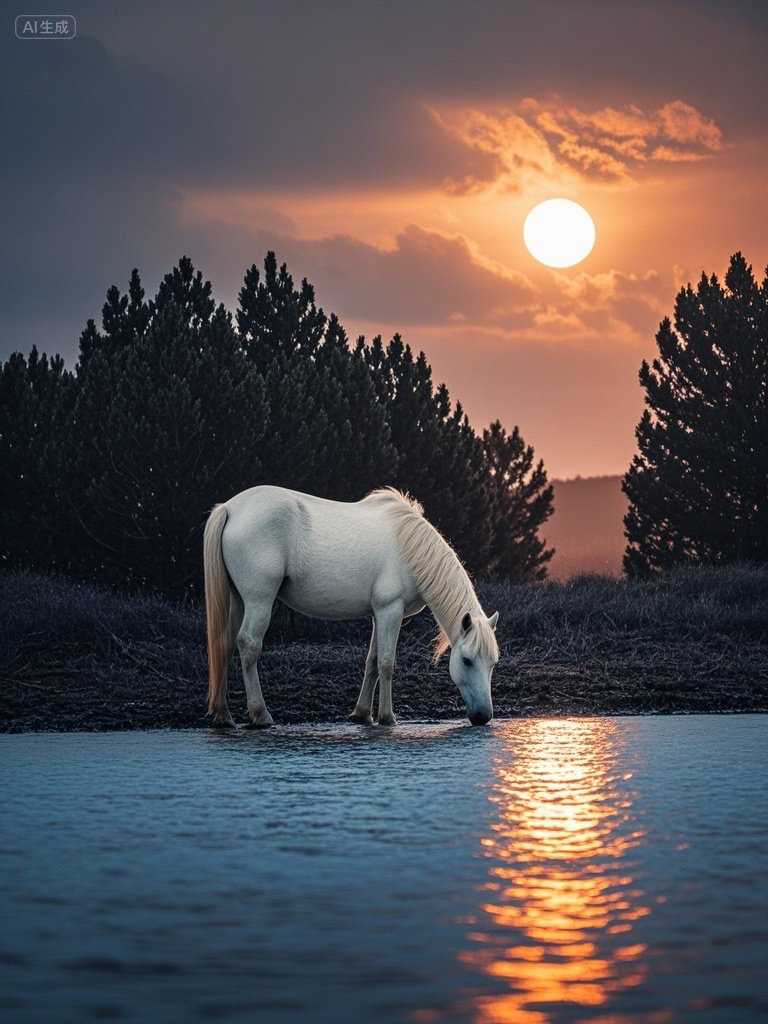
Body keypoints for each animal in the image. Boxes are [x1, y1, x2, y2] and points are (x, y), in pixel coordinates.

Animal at [203, 485, 499, 728]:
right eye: (466, 660)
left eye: (493, 663)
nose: (483, 716)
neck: (408, 546)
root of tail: (230, 508)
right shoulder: (390, 612)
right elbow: (386, 664)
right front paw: (387, 717)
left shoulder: (379, 615)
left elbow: (372, 662)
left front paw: (362, 714)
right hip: (259, 601)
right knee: (248, 645)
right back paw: (261, 715)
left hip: (238, 601)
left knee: (223, 644)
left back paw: (223, 715)